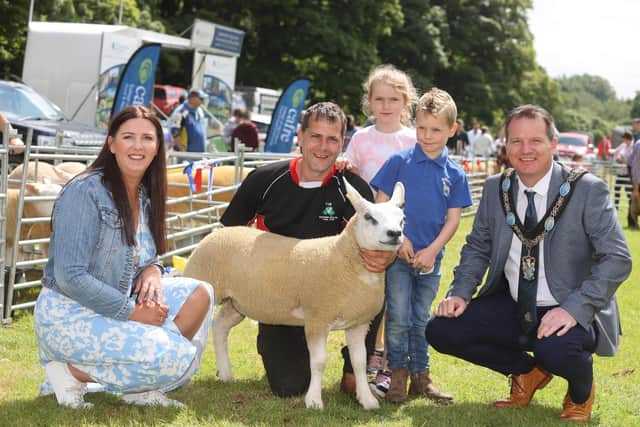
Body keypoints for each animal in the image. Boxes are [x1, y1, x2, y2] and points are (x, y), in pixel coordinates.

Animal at [184, 181, 404, 412]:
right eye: (369, 217)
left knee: (219, 326)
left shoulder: (359, 323)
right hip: (202, 283)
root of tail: (215, 232)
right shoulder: (317, 319)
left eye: (402, 218)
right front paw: (314, 401)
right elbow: (319, 362)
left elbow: (359, 362)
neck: (344, 258)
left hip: (237, 302)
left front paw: (367, 400)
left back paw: (226, 373)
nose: (395, 233)